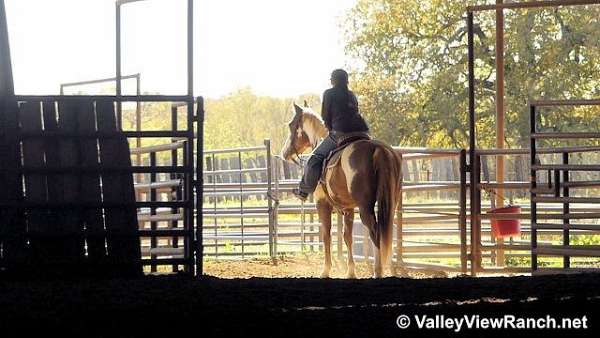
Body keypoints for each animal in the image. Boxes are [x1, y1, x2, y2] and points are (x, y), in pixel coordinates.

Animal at [282, 103, 404, 278]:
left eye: (291, 125)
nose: (284, 153)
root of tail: (377, 149)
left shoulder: (322, 204)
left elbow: (326, 235)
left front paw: (325, 270)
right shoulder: (348, 208)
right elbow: (347, 236)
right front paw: (351, 271)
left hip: (365, 207)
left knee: (375, 232)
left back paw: (377, 271)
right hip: (390, 203)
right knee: (385, 232)